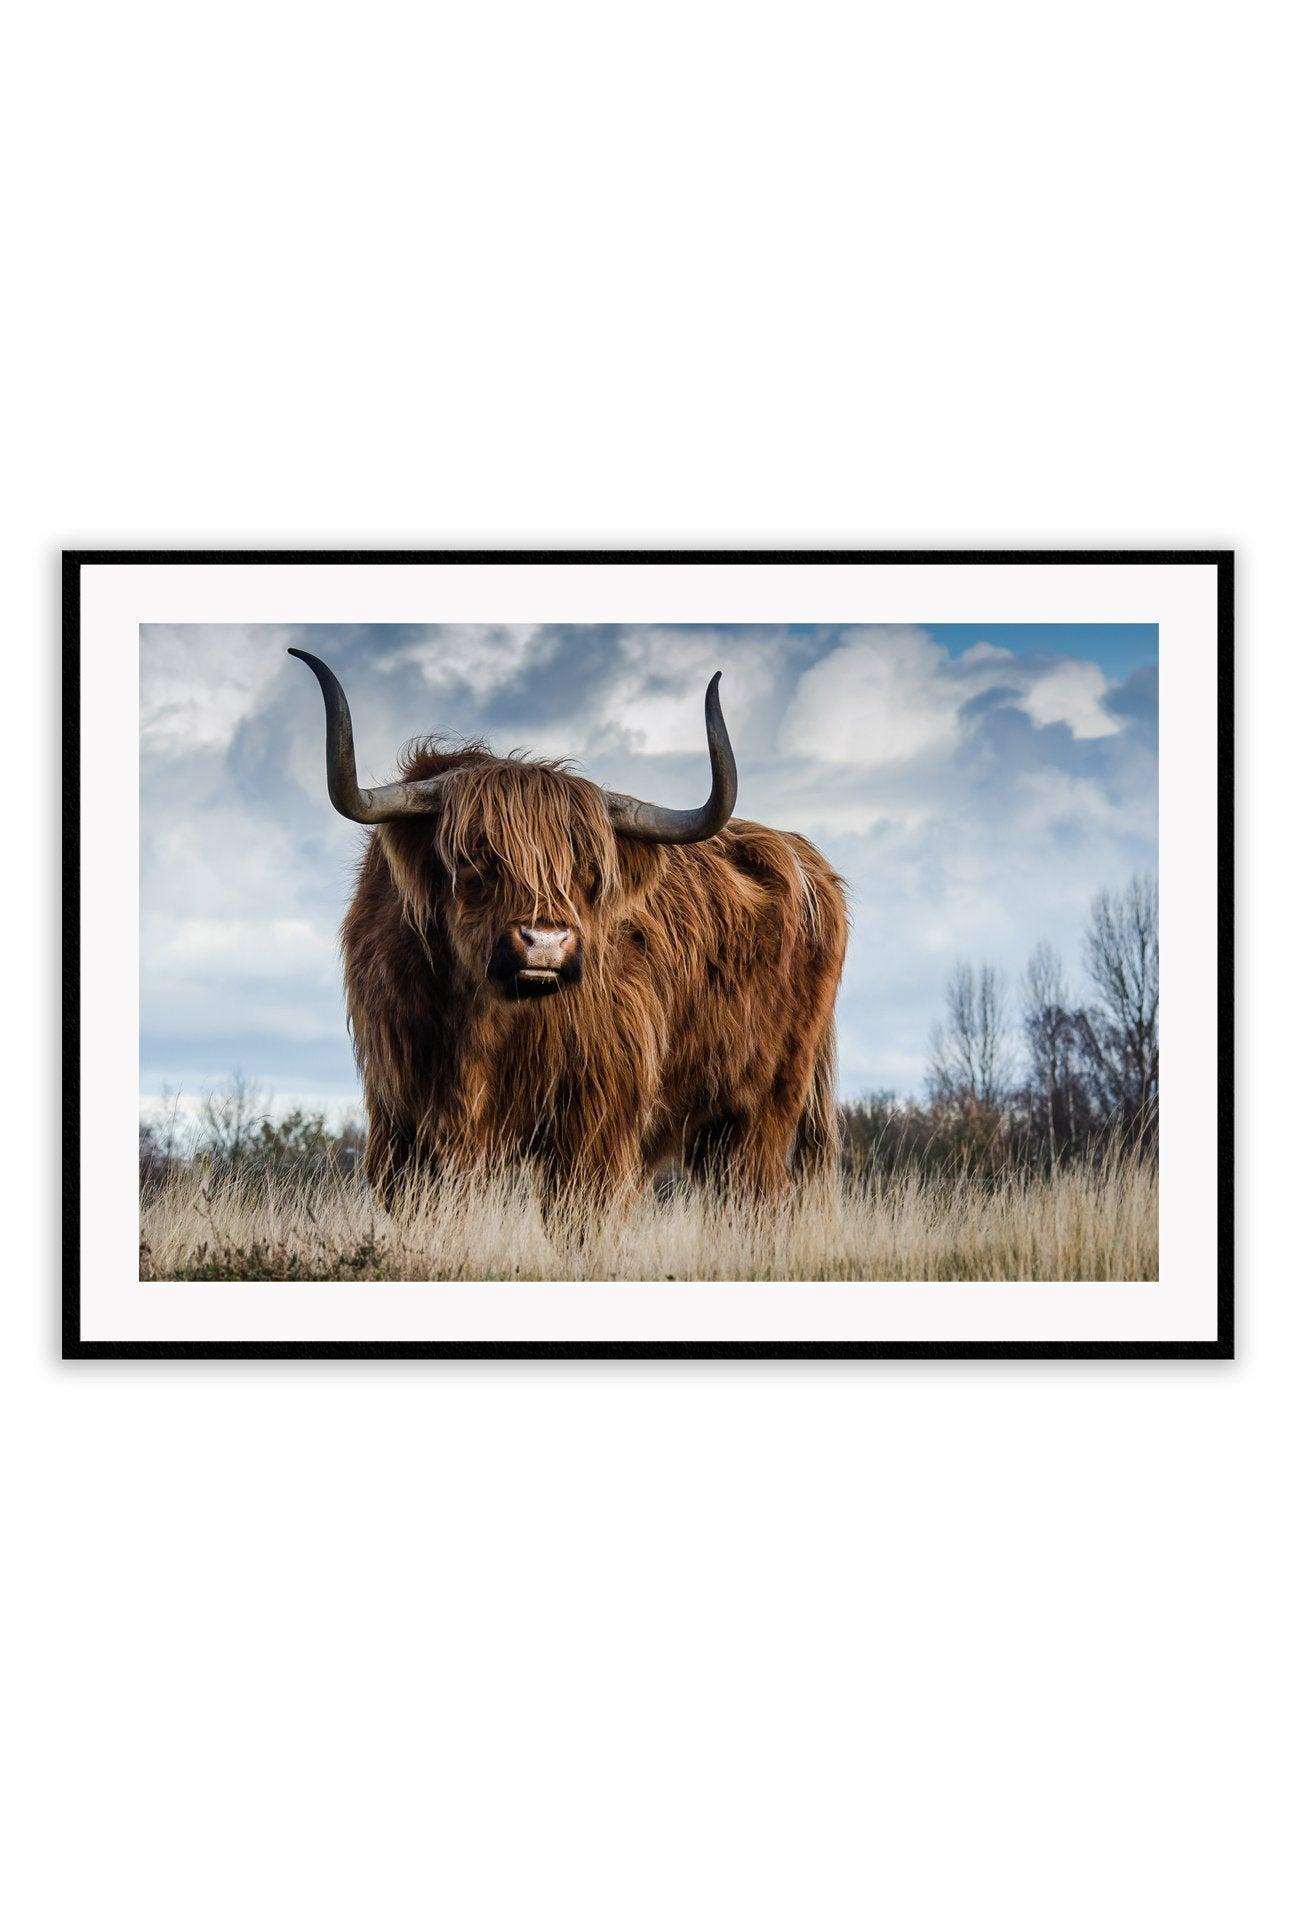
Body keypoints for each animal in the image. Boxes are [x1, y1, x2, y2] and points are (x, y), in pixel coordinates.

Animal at [291, 648, 848, 1204]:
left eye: (588, 869)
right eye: (475, 858)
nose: (545, 943)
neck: (480, 1024)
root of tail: (806, 858)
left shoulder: (595, 1122)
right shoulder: (401, 1121)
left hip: (764, 1109)